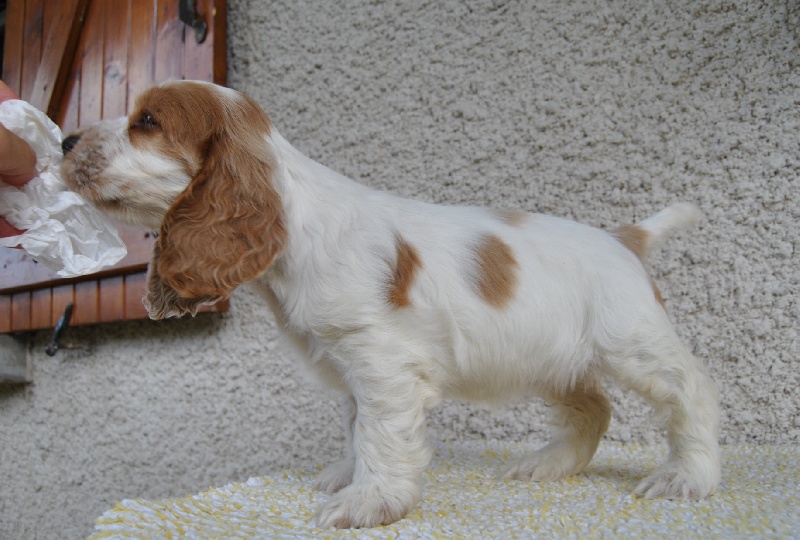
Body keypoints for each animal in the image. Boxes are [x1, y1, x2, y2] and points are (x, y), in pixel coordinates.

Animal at [61, 80, 720, 529]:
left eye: (146, 120)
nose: (65, 138)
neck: (295, 225)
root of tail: (623, 238)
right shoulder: (353, 365)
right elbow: (357, 428)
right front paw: (347, 477)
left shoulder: (381, 360)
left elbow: (380, 434)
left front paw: (370, 500)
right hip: (549, 358)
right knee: (593, 408)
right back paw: (550, 464)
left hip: (630, 342)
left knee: (691, 389)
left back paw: (688, 476)